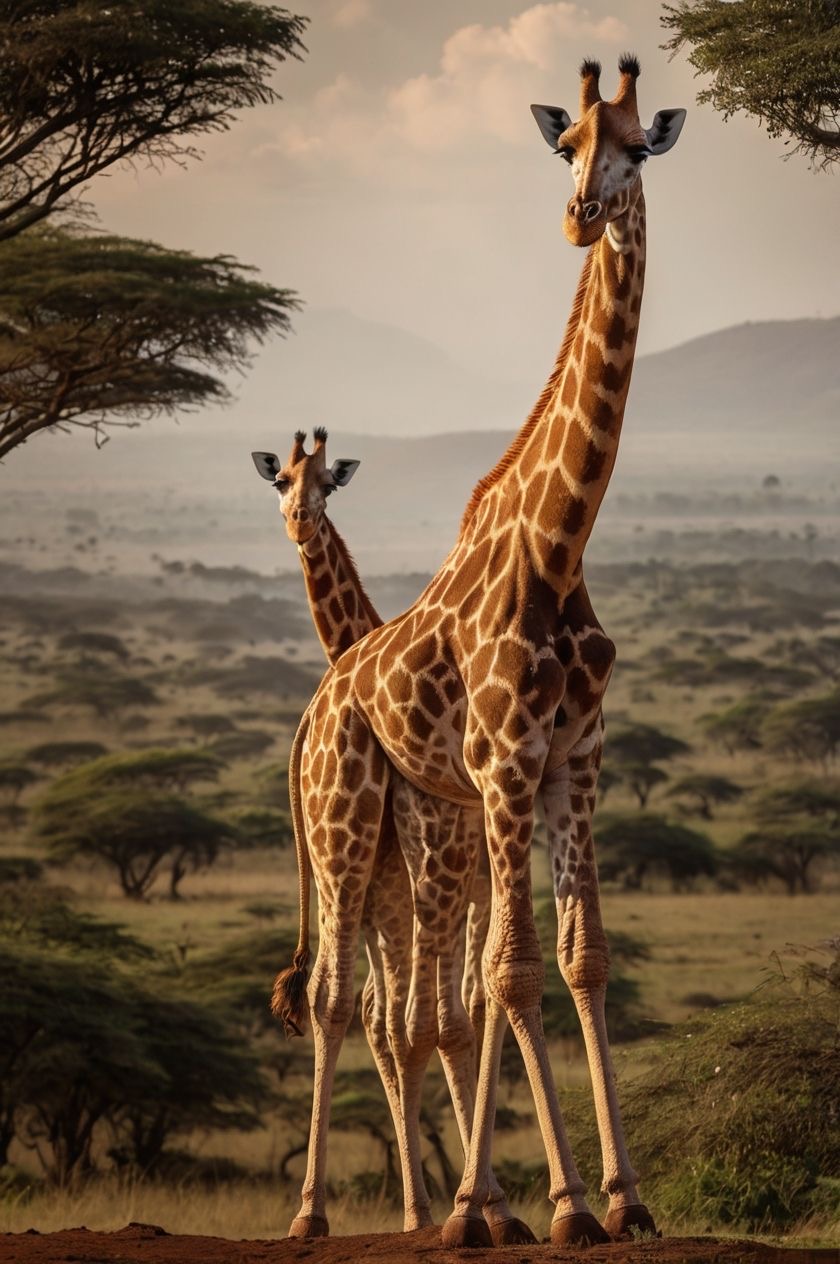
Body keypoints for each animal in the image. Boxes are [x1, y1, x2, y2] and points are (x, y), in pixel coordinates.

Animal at [253, 431, 528, 1242]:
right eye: (280, 480)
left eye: (328, 484)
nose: (301, 520)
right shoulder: (388, 902)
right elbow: (389, 1022)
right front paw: (423, 1208)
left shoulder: (414, 894)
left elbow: (422, 1020)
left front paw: (457, 1206)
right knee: (410, 1011)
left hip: (475, 882)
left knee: (470, 1000)